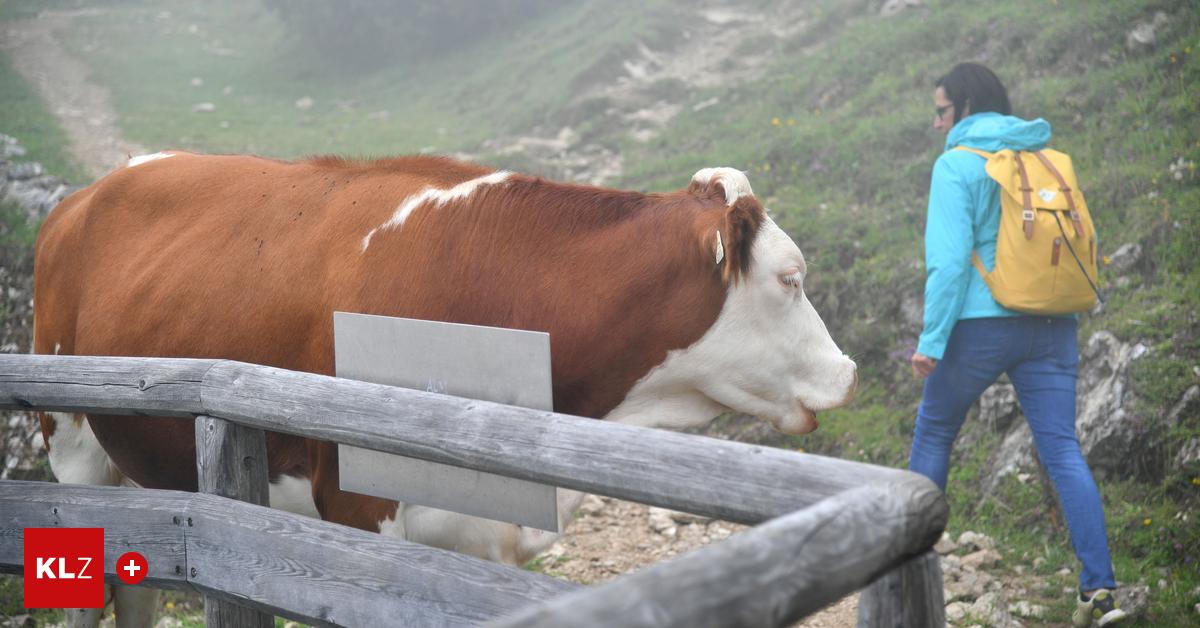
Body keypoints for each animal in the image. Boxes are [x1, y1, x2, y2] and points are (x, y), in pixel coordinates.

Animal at [32, 151, 859, 624]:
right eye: (791, 278)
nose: (848, 373)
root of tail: (89, 192)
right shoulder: (355, 516)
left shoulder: (483, 538)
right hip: (73, 446)